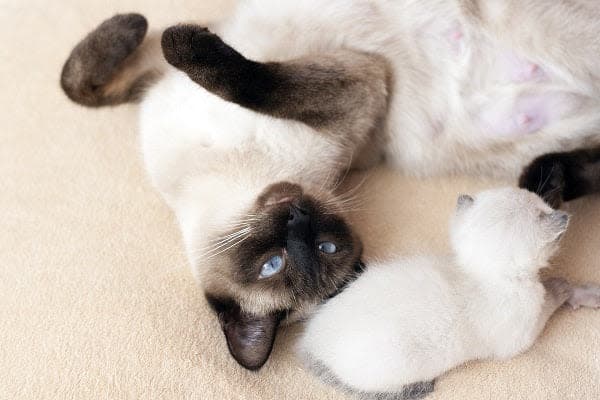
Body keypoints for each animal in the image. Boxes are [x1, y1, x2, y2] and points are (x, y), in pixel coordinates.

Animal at [59, 0, 600, 370]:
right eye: (275, 264)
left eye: (324, 247)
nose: (297, 216)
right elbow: (87, 85)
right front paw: (154, 30)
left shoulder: (354, 81)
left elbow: (93, 82)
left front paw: (151, 26)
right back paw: (547, 176)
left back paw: (545, 176)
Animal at [298, 188, 600, 400]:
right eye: (542, 206)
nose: (560, 212)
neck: (480, 273)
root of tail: (310, 343)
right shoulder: (521, 337)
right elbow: (550, 299)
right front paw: (563, 287)